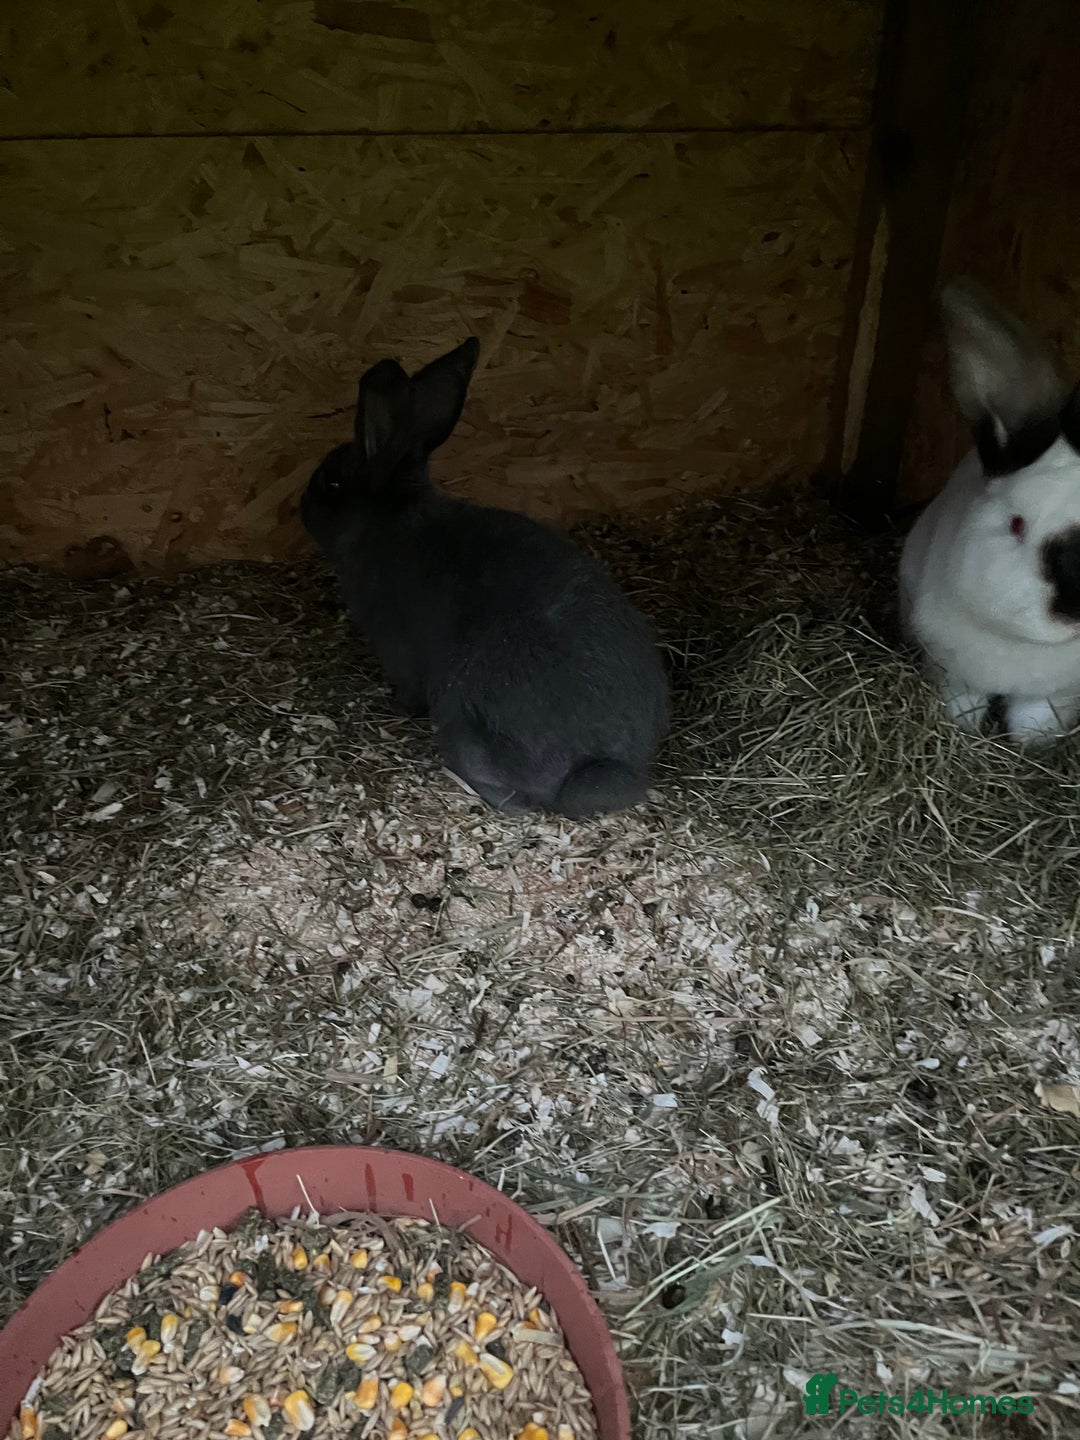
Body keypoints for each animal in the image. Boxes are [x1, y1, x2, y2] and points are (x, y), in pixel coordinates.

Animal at [899, 276, 1080, 746]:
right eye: (1016, 525)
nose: (1070, 612)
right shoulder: (953, 672)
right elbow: (965, 704)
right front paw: (961, 731)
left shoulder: (1055, 694)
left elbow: (1035, 718)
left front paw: (1030, 746)